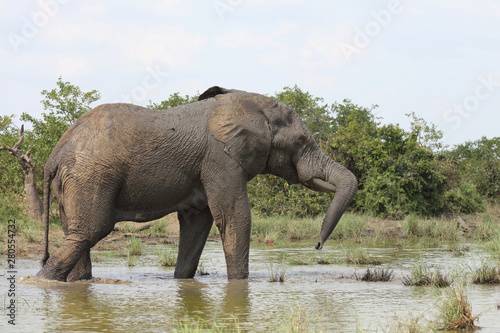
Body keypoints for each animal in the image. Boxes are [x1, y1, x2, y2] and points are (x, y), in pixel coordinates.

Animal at [37, 85, 358, 280]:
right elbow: (235, 217)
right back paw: (43, 281)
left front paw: (182, 282)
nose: (317, 245)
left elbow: (197, 223)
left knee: (76, 233)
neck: (249, 103)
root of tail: (55, 152)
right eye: (301, 142)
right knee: (90, 231)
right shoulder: (220, 158)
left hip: (75, 181)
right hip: (91, 176)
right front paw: (239, 285)